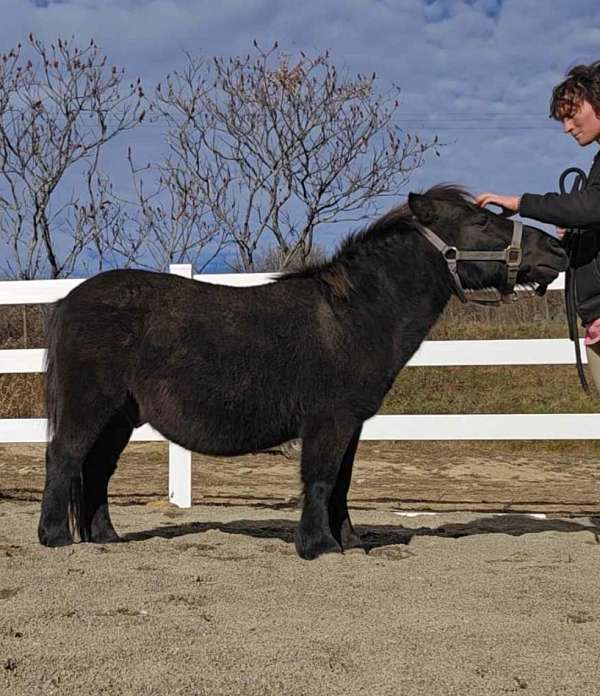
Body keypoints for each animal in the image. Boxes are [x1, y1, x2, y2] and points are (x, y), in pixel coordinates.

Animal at [38, 185, 567, 559]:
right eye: (482, 221)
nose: (557, 251)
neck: (355, 314)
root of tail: (70, 299)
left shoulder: (351, 424)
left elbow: (342, 483)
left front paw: (349, 542)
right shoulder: (328, 422)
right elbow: (320, 478)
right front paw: (318, 546)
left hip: (120, 417)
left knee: (96, 471)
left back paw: (106, 537)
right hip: (91, 406)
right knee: (64, 458)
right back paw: (55, 537)